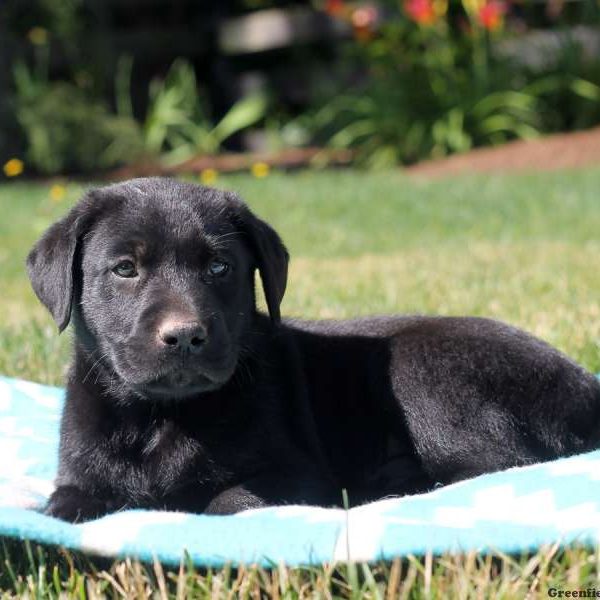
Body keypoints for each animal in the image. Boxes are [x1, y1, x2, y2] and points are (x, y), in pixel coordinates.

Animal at [27, 177, 600, 520]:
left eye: (220, 267)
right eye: (125, 268)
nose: (185, 335)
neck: (162, 416)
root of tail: (586, 388)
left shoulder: (299, 475)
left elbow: (224, 501)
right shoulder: (79, 473)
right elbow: (64, 504)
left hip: (421, 371)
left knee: (500, 464)